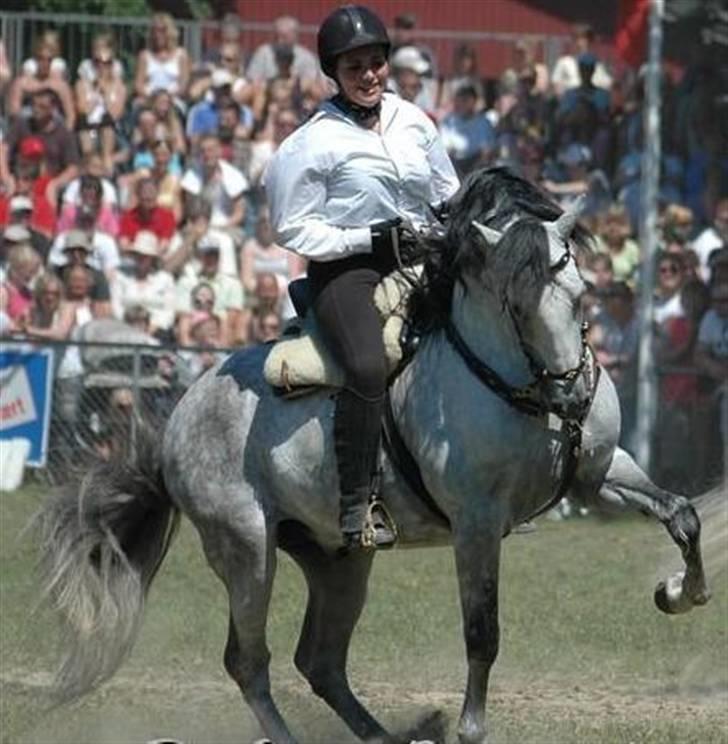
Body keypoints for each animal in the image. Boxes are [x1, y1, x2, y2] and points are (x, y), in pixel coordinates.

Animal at [38, 170, 712, 744]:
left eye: (579, 292)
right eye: (515, 306)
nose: (573, 394)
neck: (514, 385)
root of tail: (177, 421)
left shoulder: (601, 475)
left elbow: (683, 515)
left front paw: (680, 592)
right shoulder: (476, 524)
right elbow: (482, 631)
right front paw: (470, 728)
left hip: (337, 561)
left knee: (320, 662)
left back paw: (391, 734)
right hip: (248, 550)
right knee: (249, 661)